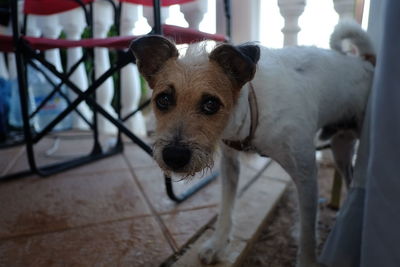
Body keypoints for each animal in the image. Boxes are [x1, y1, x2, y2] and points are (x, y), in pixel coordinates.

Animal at [130, 19, 376, 267]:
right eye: (163, 99)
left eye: (211, 104)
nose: (174, 156)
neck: (253, 112)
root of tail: (365, 62)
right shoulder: (229, 164)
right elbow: (226, 207)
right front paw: (218, 244)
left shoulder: (306, 175)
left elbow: (307, 232)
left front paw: (307, 261)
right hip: (341, 150)